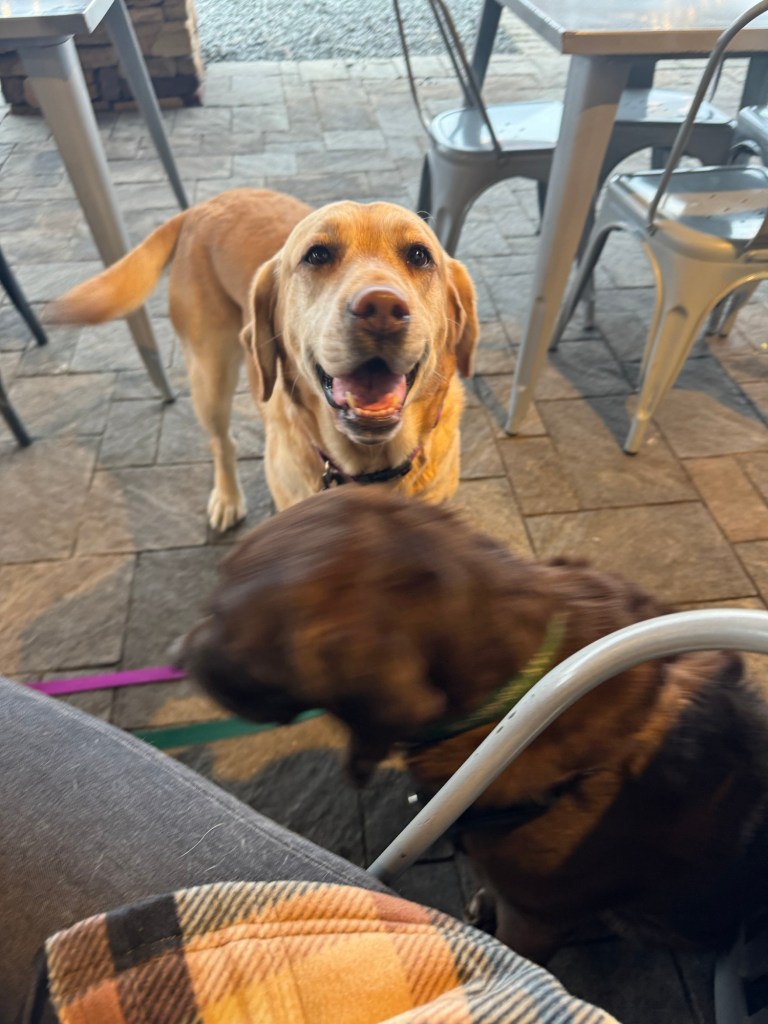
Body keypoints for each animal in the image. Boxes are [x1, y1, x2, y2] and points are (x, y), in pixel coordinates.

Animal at [48, 189, 479, 528]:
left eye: (419, 255)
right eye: (317, 255)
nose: (382, 309)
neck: (371, 468)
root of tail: (203, 206)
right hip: (210, 375)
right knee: (221, 442)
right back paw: (227, 498)